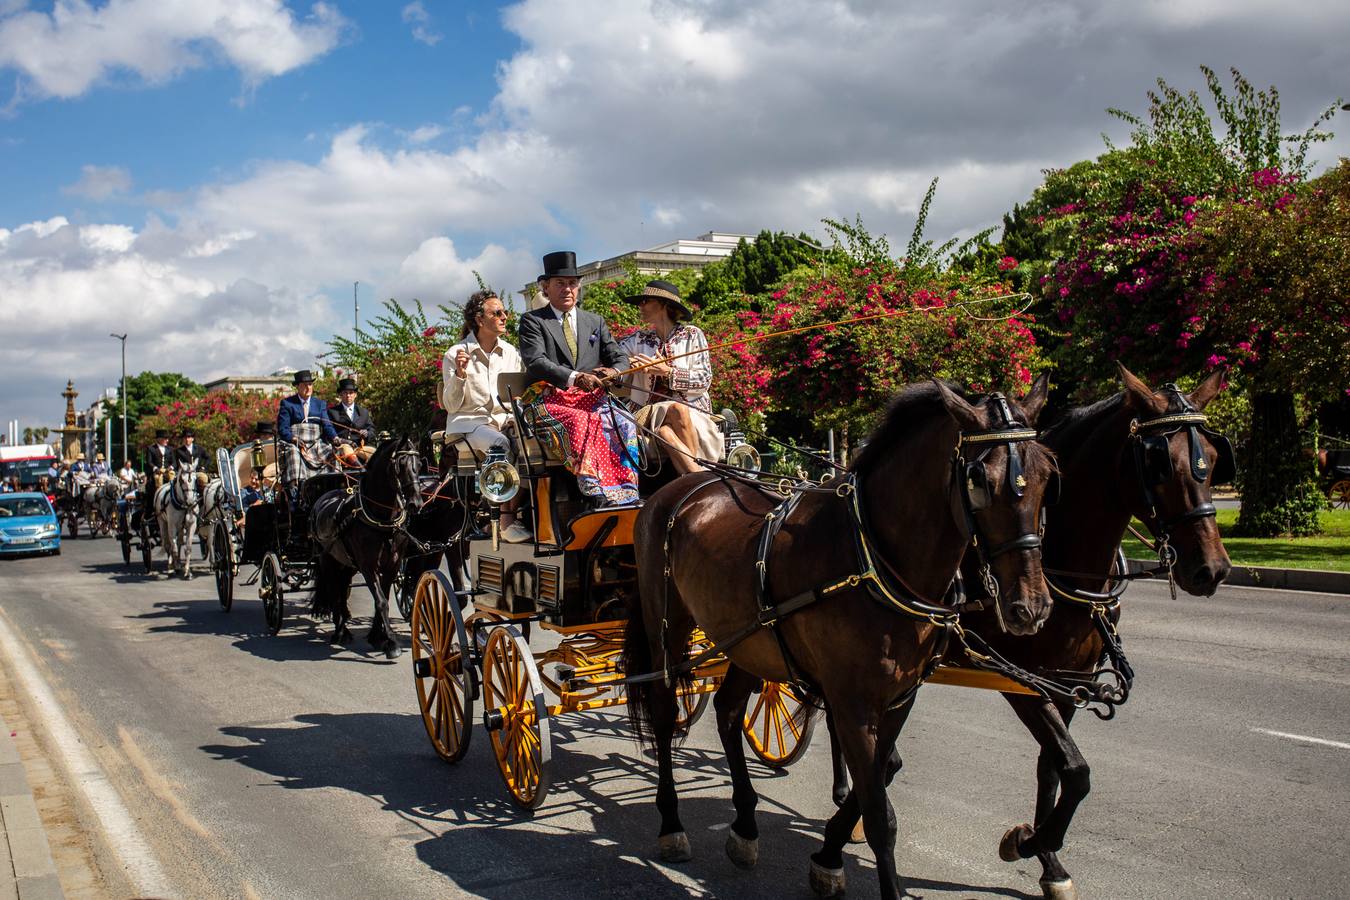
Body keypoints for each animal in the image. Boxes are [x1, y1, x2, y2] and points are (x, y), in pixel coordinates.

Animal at [626, 380, 1058, 900]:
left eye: (1047, 475)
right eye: (979, 480)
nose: (1030, 607)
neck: (872, 556)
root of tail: (677, 489)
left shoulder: (897, 699)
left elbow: (879, 780)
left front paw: (828, 853)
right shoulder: (852, 703)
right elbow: (879, 818)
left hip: (749, 639)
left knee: (729, 711)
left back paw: (745, 825)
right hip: (666, 627)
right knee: (664, 711)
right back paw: (671, 823)